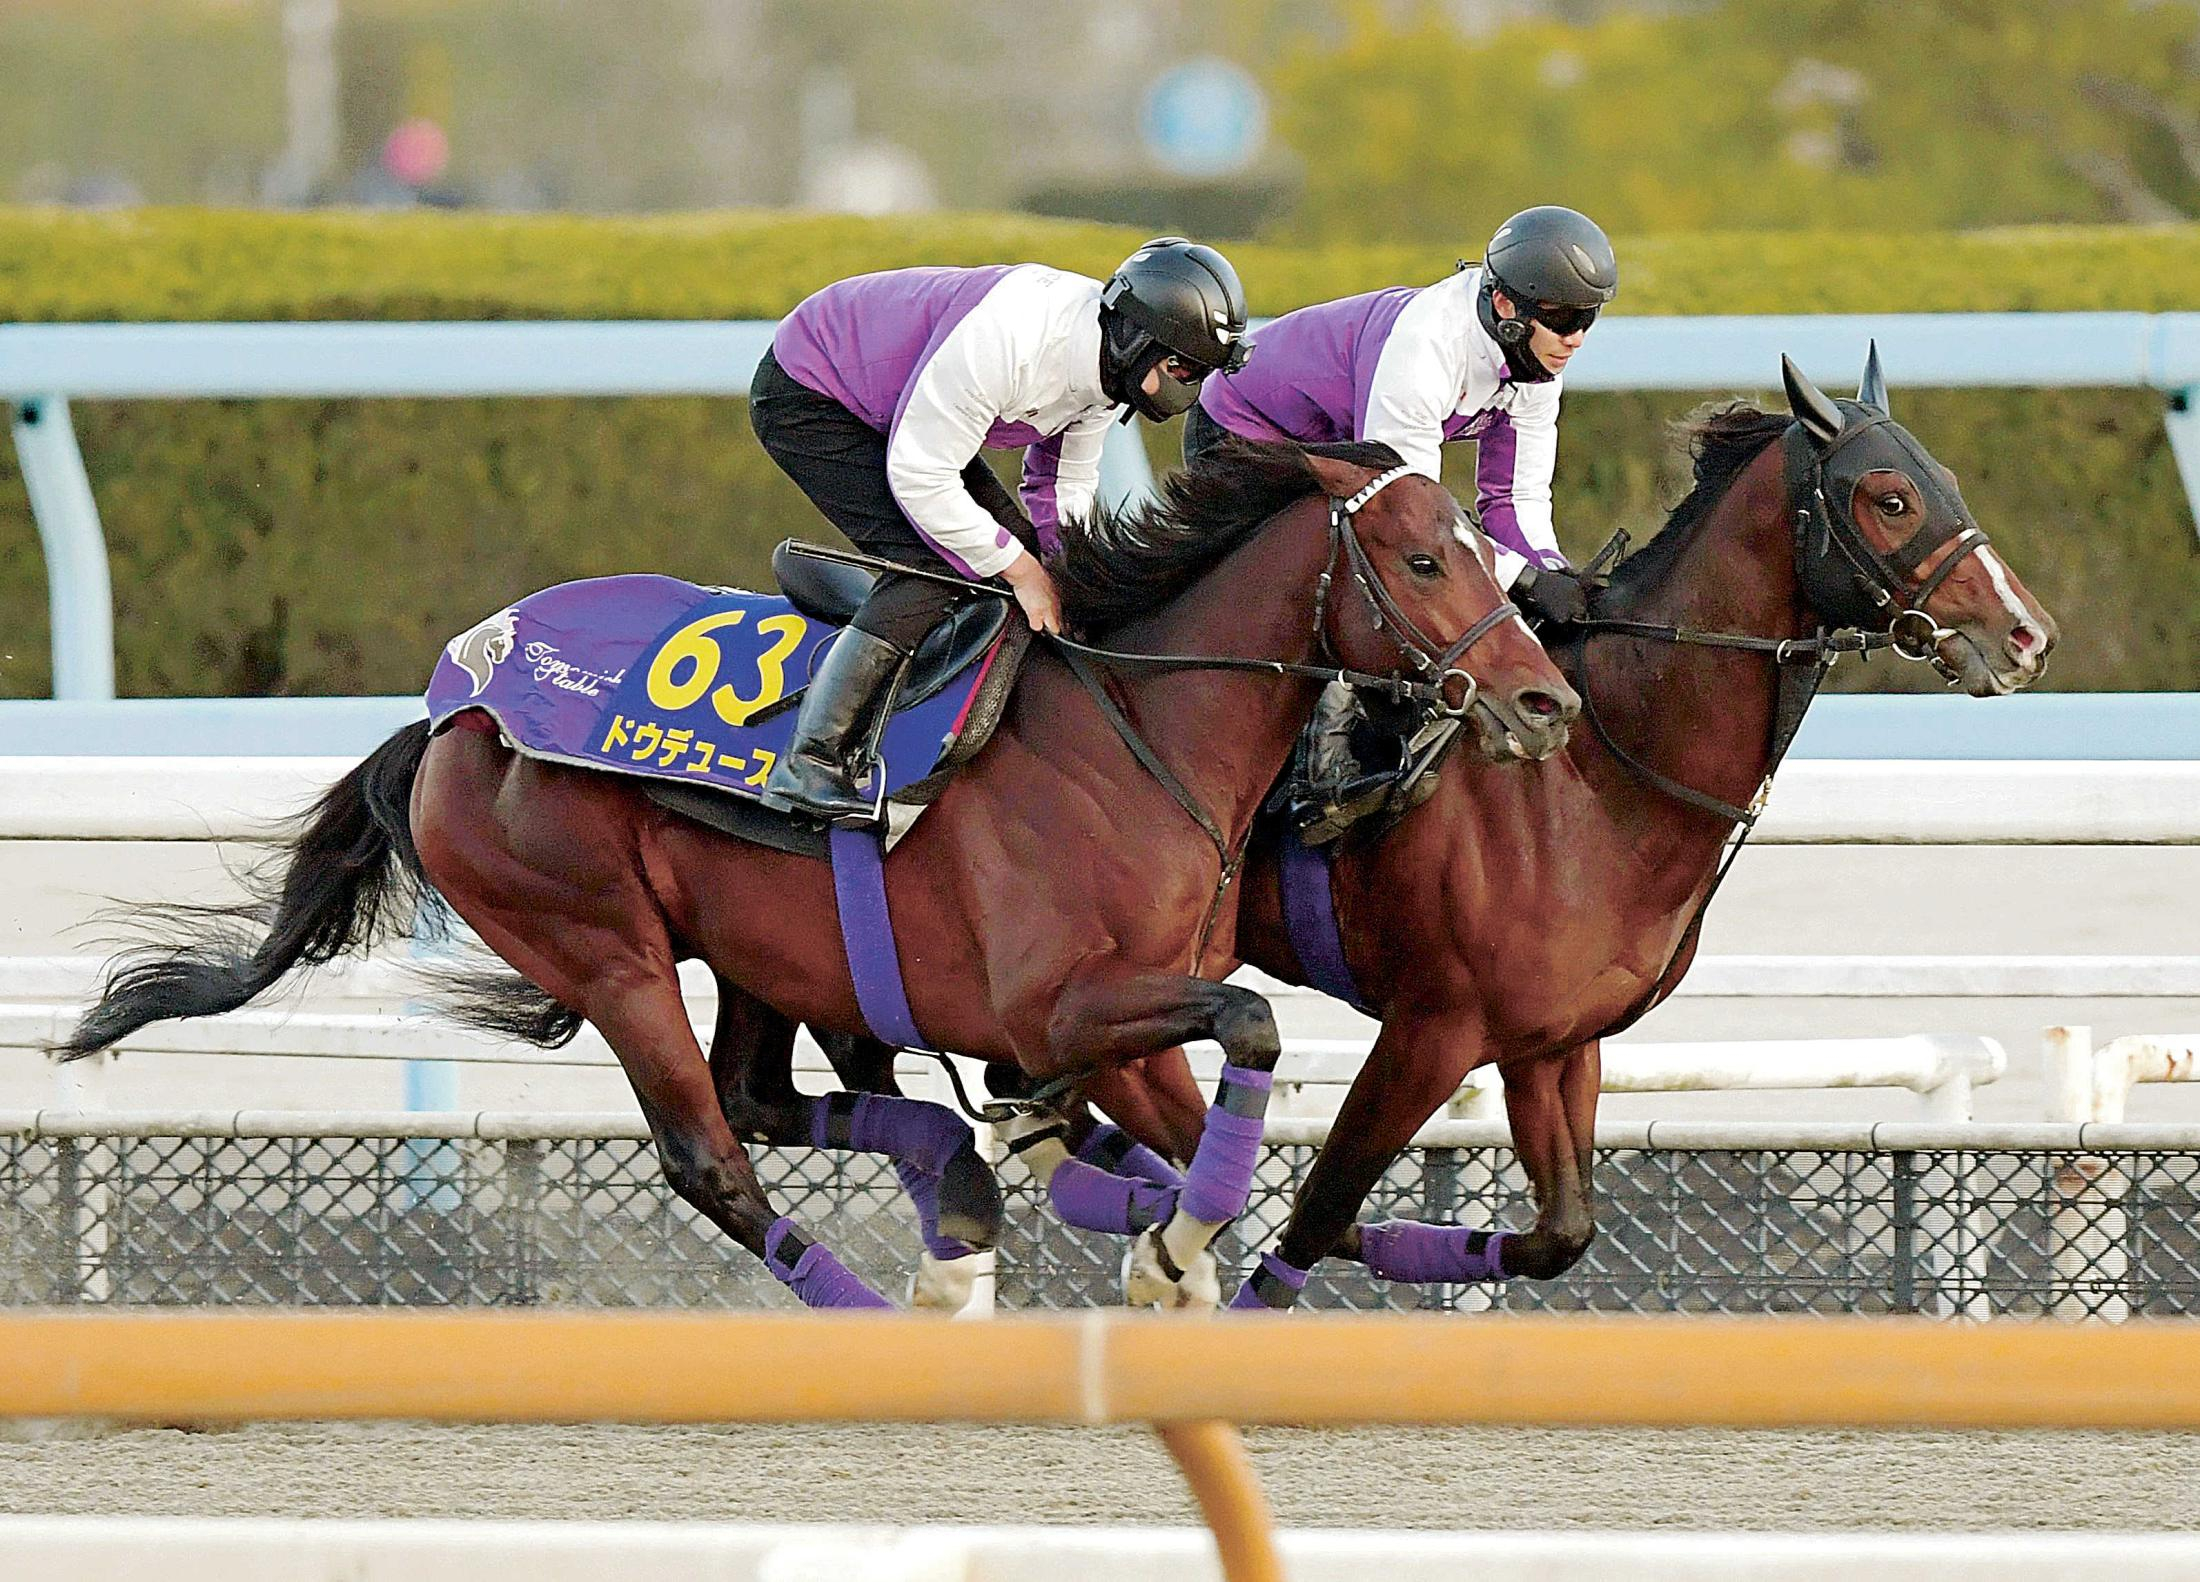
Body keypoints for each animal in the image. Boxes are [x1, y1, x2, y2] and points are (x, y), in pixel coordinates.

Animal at [55, 435, 1584, 1311]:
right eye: (1423, 557)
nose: (1547, 701)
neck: (1136, 727)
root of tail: (458, 698)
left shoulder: (1121, 1012)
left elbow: (1205, 1121)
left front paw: (1158, 1226)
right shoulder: (1054, 1005)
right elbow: (1249, 1037)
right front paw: (1160, 1238)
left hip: (754, 946)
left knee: (763, 1098)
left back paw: (955, 1187)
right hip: (604, 944)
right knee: (711, 1156)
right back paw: (875, 1297)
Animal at [818, 358, 2050, 1311]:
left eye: (1941, 479)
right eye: (1887, 497)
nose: (2027, 635)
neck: (1601, 776)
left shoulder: (1555, 1041)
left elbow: (1559, 1231)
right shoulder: (1433, 1026)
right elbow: (1318, 1204)